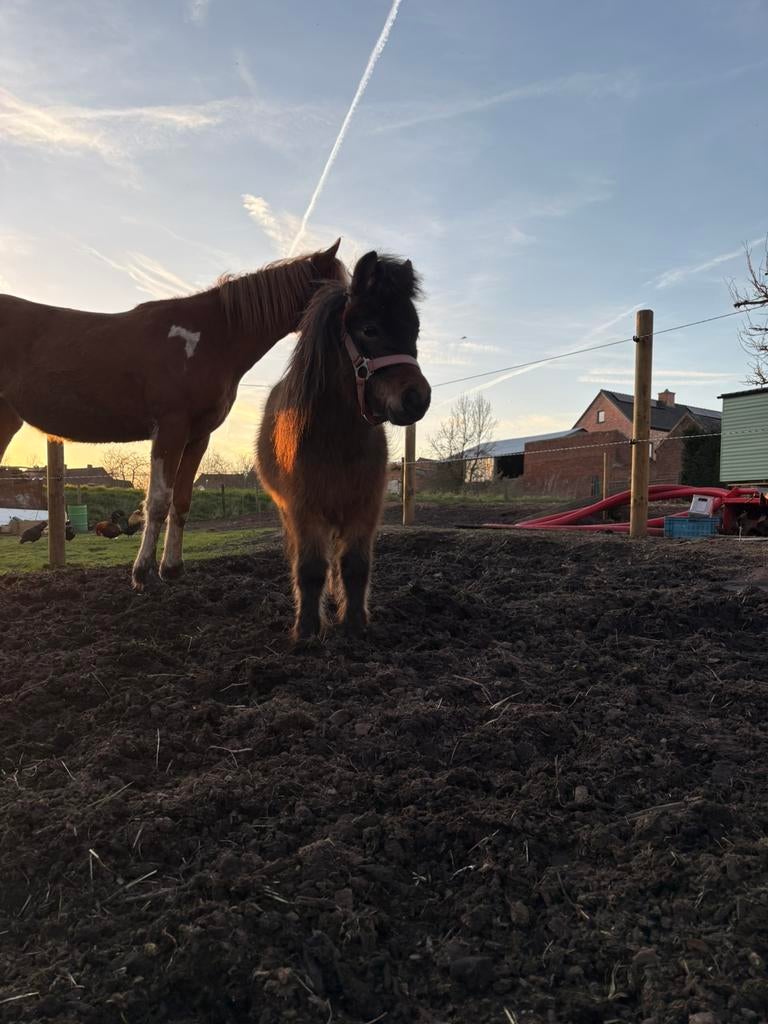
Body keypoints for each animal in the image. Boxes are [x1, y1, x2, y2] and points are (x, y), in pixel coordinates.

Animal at [0, 241, 345, 589]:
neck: (211, 335)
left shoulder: (198, 436)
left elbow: (180, 501)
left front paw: (172, 568)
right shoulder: (170, 428)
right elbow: (158, 501)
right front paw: (142, 572)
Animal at [256, 250, 431, 640]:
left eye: (414, 331)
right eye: (369, 329)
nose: (418, 398)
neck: (337, 441)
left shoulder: (365, 509)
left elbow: (354, 565)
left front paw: (353, 622)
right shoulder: (303, 511)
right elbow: (310, 569)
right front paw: (307, 630)